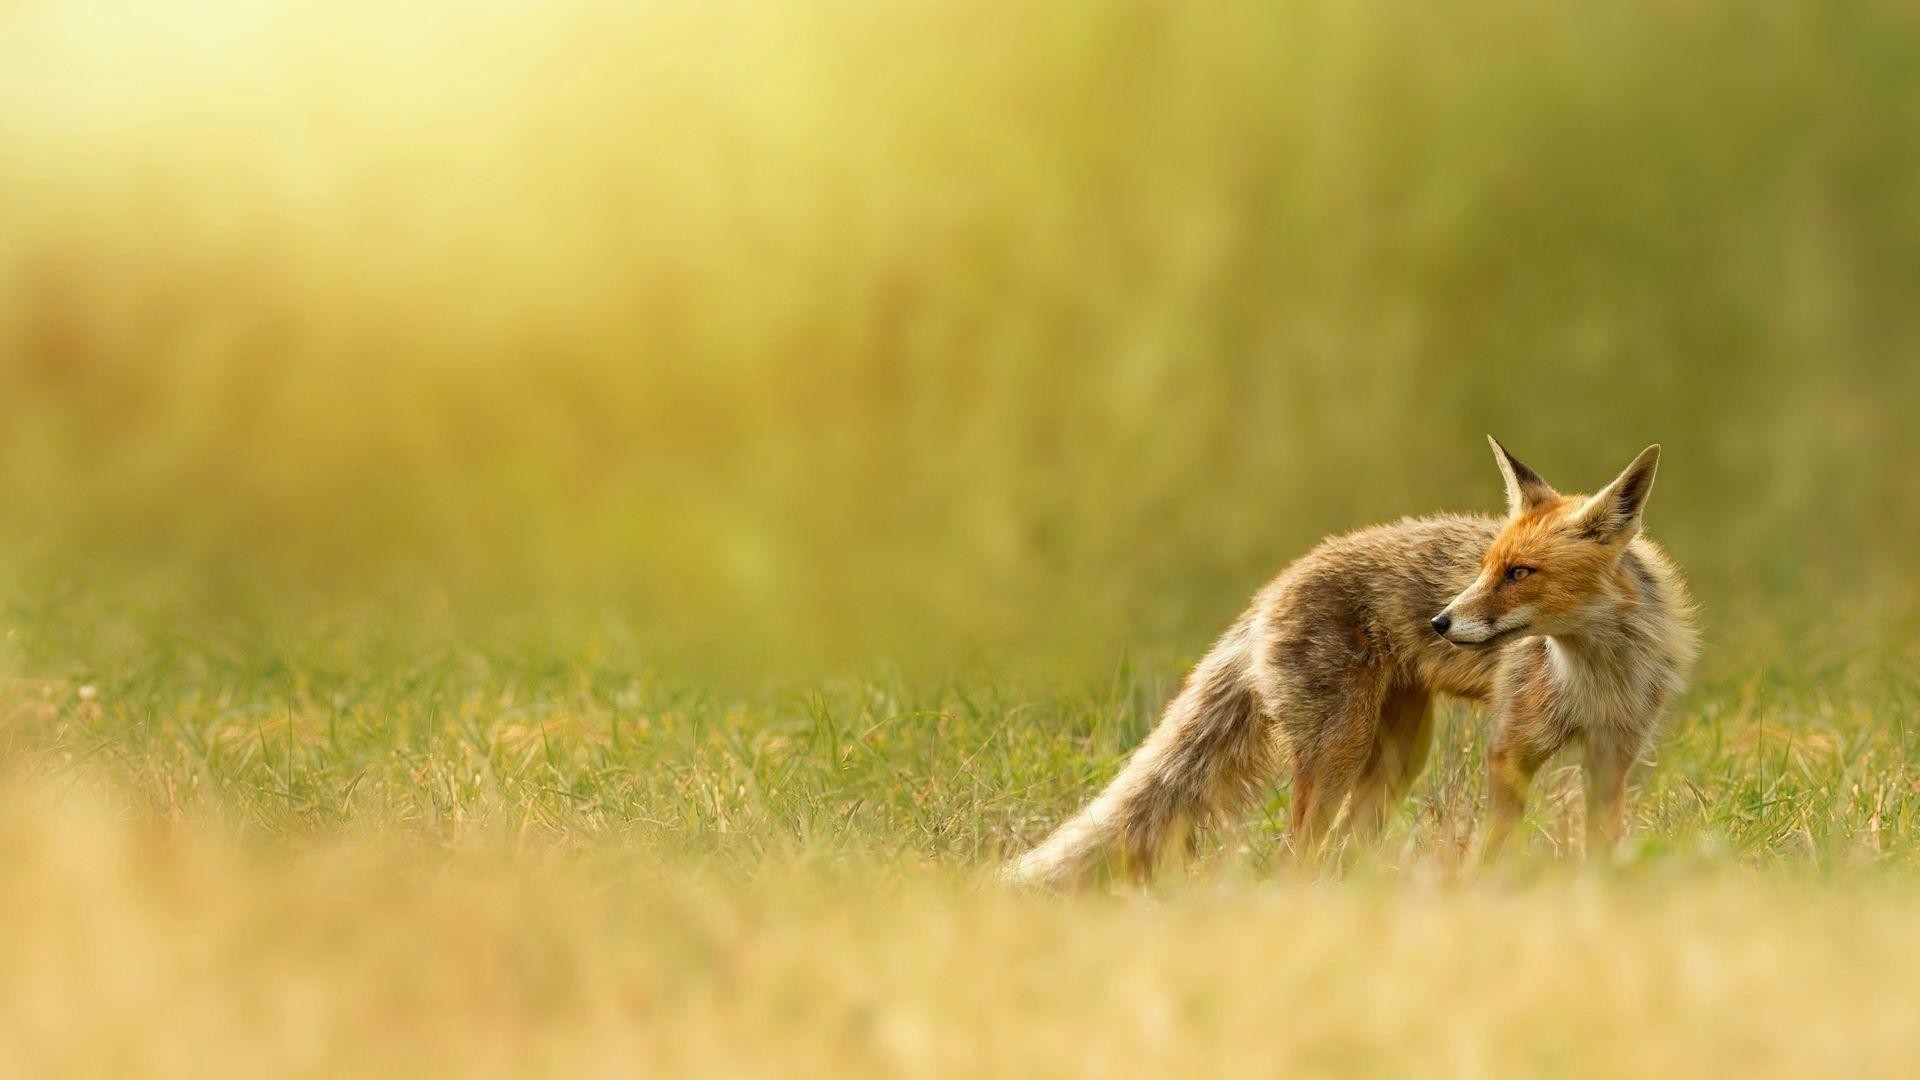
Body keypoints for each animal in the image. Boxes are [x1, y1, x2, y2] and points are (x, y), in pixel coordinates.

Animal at [1006, 437, 1698, 887]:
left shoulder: (1613, 755)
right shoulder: (1511, 749)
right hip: (1340, 749)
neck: (1596, 675)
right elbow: (1493, 850)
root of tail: (1272, 587)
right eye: (1484, 568)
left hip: (1395, 758)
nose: (1440, 623)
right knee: (1297, 856)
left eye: (1520, 573)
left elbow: (1601, 849)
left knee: (1343, 848)